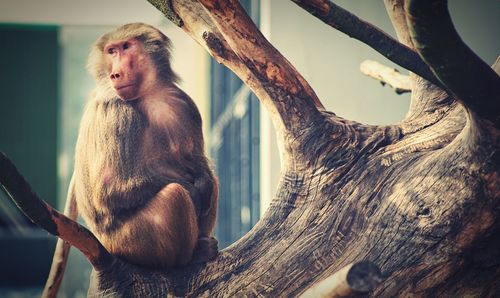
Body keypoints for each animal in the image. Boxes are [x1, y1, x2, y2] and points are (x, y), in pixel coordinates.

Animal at [45, 23, 219, 298]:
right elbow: (111, 189)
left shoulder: (186, 104)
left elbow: (196, 164)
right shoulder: (118, 110)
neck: (150, 94)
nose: (115, 74)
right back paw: (188, 258)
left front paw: (202, 182)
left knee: (213, 183)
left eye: (126, 47)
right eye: (111, 51)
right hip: (127, 242)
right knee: (175, 195)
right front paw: (194, 191)